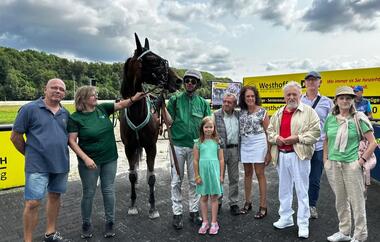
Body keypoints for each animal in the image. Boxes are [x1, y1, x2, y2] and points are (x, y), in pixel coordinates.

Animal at [121, 33, 182, 217]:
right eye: (153, 59)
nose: (178, 80)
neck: (136, 113)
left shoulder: (151, 146)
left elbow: (152, 177)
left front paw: (153, 206)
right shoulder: (129, 147)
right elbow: (132, 175)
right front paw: (132, 204)